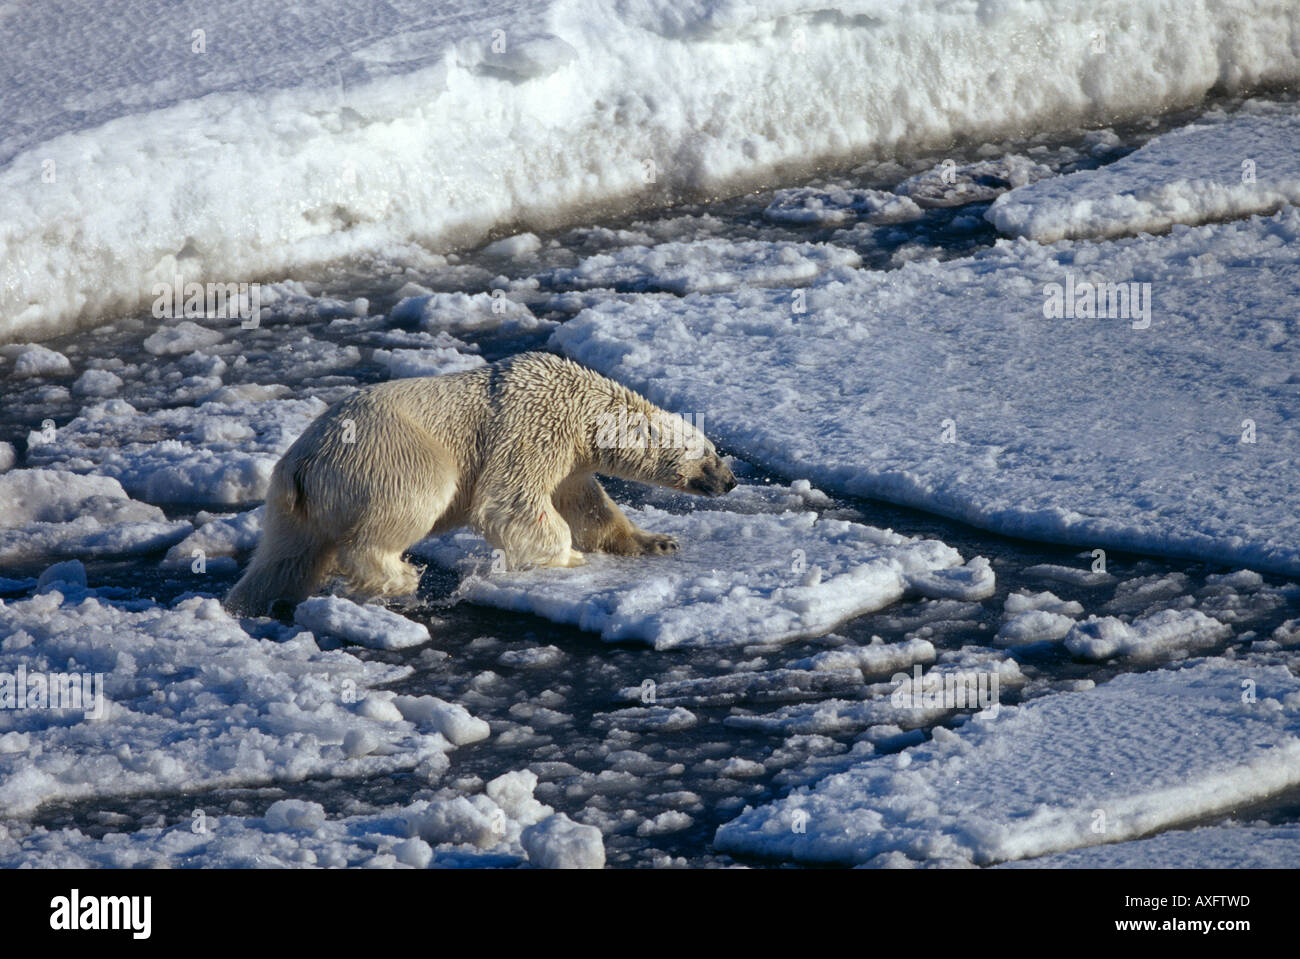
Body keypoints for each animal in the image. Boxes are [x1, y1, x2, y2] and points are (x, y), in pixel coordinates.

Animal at [227, 350, 738, 613]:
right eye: (710, 454)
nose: (731, 481)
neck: (582, 405)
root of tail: (303, 462)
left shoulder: (570, 460)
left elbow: (588, 505)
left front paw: (659, 541)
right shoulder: (533, 425)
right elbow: (510, 498)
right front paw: (568, 557)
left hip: (292, 501)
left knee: (284, 557)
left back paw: (250, 603)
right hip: (387, 455)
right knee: (405, 506)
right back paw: (399, 576)